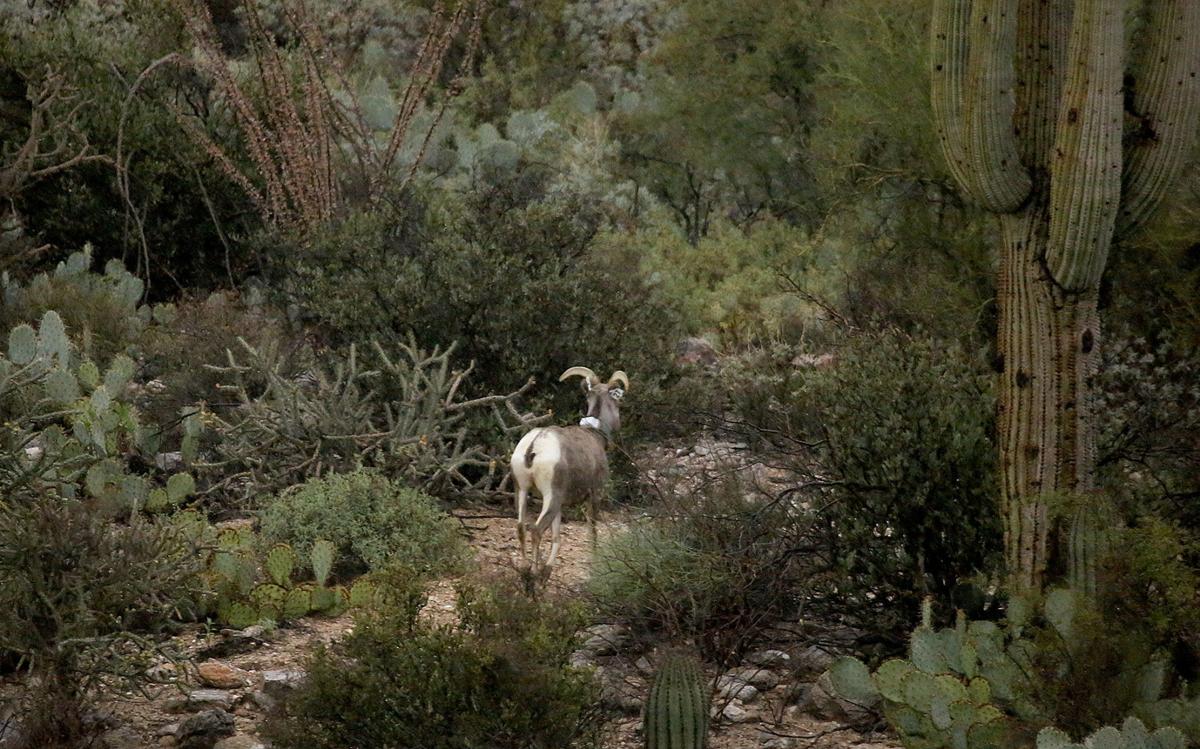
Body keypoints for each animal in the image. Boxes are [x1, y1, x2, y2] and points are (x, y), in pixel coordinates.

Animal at [511, 365, 629, 575]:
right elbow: (592, 529)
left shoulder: (561, 506)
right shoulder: (595, 494)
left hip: (522, 490)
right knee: (536, 530)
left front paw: (548, 568)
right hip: (551, 497)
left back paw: (525, 569)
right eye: (618, 403)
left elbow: (556, 537)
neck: (595, 434)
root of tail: (534, 444)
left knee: (521, 527)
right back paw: (534, 573)